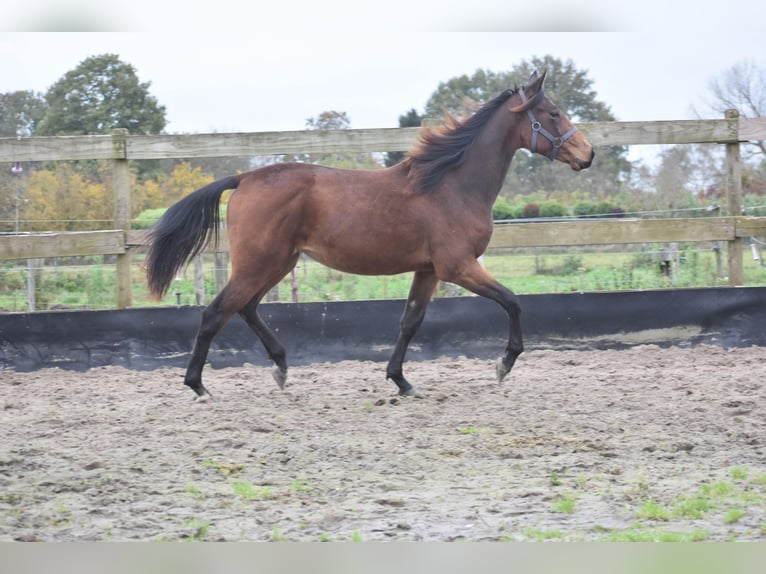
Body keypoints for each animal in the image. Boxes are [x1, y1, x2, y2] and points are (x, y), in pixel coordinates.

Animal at [147, 72, 596, 402]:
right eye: (553, 113)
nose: (588, 154)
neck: (451, 185)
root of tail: (244, 178)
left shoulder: (429, 271)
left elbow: (410, 322)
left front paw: (401, 381)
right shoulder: (458, 267)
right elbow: (513, 302)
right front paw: (503, 364)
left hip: (278, 263)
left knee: (246, 308)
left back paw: (280, 367)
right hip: (261, 262)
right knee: (215, 313)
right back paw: (199, 386)